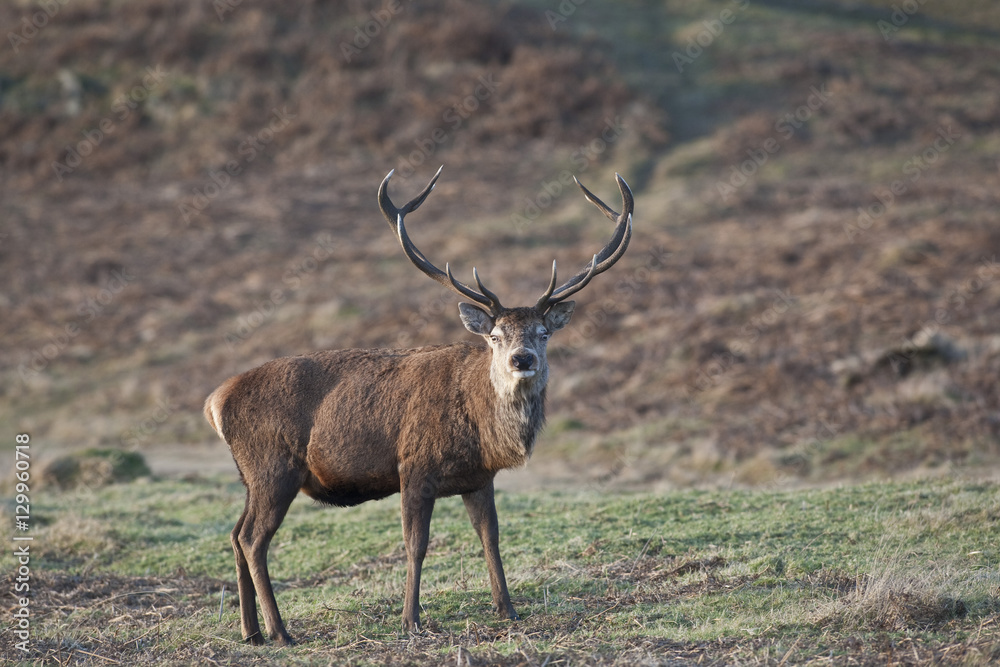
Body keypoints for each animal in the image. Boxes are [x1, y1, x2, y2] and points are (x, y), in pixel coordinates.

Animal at [203, 166, 633, 645]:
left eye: (543, 332)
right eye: (495, 335)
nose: (522, 359)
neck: (482, 429)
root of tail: (215, 402)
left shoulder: (478, 478)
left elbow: (491, 538)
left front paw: (508, 610)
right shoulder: (414, 467)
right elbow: (416, 545)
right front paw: (411, 619)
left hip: (250, 476)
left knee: (235, 533)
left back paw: (251, 631)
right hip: (272, 466)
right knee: (253, 540)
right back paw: (280, 631)